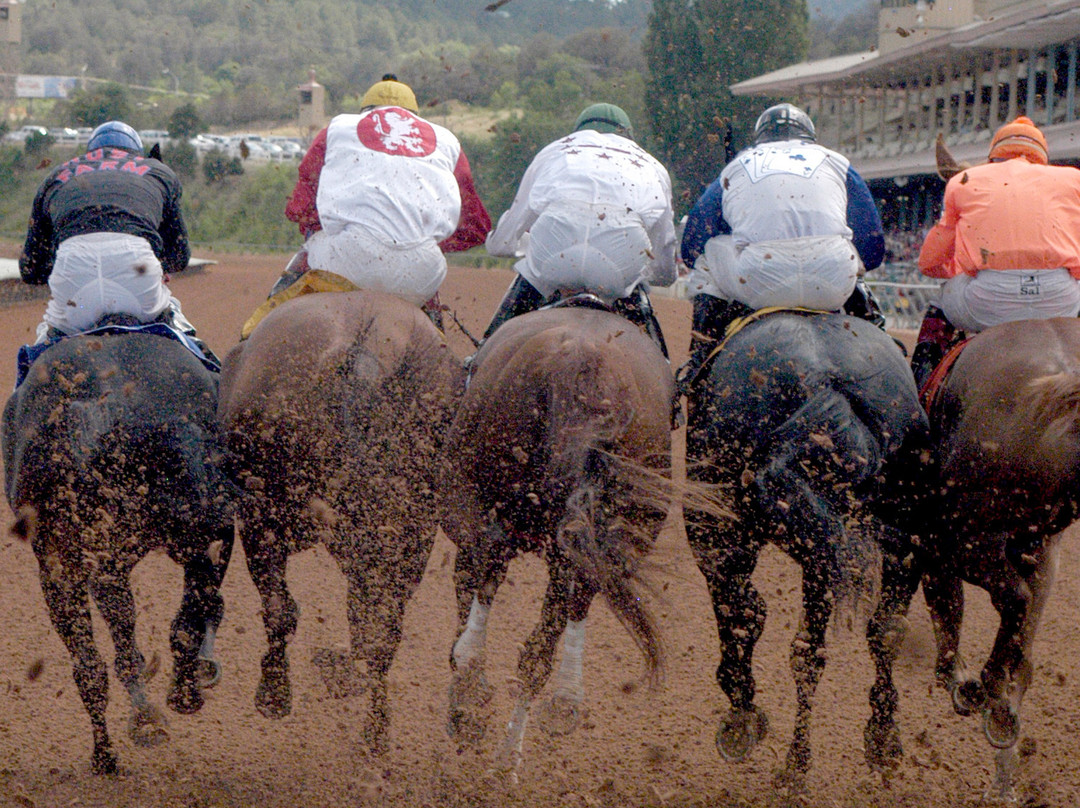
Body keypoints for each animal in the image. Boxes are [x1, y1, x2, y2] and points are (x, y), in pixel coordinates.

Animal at [2, 330, 235, 777]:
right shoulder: (210, 530)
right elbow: (197, 609)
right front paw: (190, 683)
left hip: (63, 563)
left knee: (90, 664)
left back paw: (110, 751)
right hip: (182, 534)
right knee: (166, 620)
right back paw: (162, 708)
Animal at [217, 287, 462, 756]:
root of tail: (366, 345)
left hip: (266, 516)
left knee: (287, 609)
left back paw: (279, 694)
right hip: (406, 530)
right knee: (381, 629)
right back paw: (375, 730)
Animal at [442, 306, 678, 777]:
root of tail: (583, 367)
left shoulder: (465, 515)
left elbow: (469, 582)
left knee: (495, 566)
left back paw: (475, 680)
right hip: (593, 537)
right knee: (548, 630)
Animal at [682, 311, 928, 790]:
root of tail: (825, 379)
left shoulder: (713, 532)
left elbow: (742, 614)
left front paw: (741, 716)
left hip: (726, 526)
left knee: (760, 622)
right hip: (887, 543)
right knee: (874, 634)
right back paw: (873, 742)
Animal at [915, 317, 1080, 803]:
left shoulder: (944, 543)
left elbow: (949, 610)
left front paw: (963, 682)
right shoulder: (1039, 552)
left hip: (969, 538)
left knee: (1013, 603)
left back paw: (985, 689)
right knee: (1021, 647)